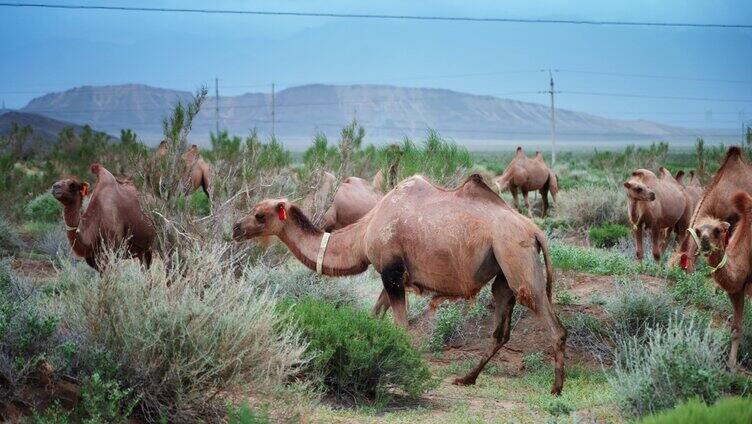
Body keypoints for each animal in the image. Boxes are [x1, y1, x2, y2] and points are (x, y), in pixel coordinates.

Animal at [232, 172, 568, 394]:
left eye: (260, 215)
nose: (236, 228)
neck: (364, 231)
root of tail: (535, 231)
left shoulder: (391, 273)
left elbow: (401, 327)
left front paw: (404, 369)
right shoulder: (389, 274)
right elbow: (375, 315)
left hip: (516, 257)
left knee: (553, 325)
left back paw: (556, 388)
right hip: (503, 273)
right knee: (501, 331)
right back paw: (466, 379)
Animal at [688, 191, 752, 368]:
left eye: (717, 230)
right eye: (697, 231)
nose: (704, 241)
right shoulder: (737, 288)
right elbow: (736, 328)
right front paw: (730, 366)